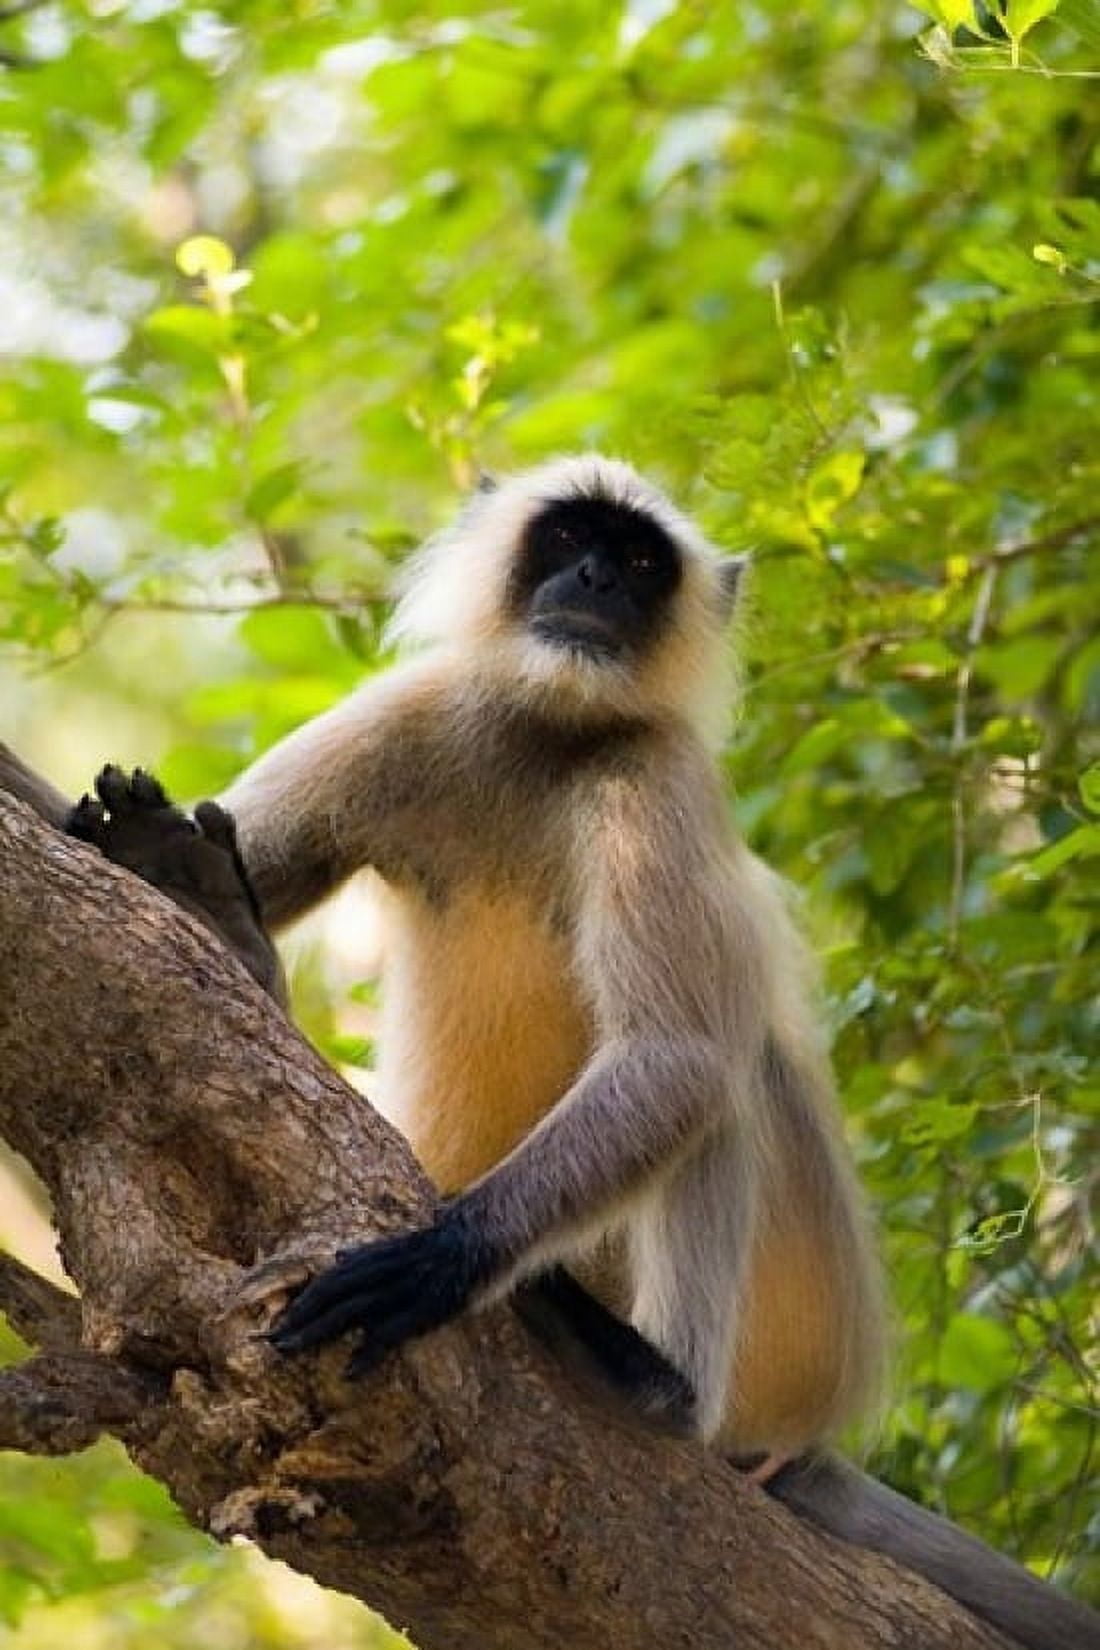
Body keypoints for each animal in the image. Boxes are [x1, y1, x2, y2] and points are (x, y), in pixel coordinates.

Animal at [2, 456, 1097, 1650]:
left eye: (638, 563)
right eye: (571, 539)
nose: (594, 582)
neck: (545, 732)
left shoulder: (655, 778)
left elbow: (675, 1058)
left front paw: (441, 1259)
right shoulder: (413, 712)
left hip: (791, 1333)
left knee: (723, 1078)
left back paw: (655, 1384)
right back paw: (206, 898)